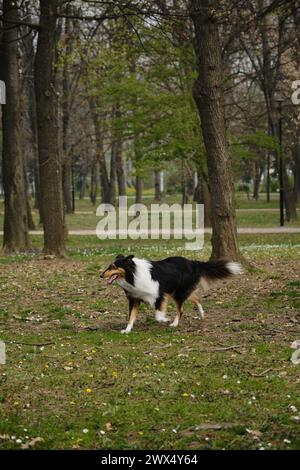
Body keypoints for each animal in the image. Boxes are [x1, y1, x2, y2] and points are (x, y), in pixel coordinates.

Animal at [100, 253, 241, 334]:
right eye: (109, 266)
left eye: (113, 267)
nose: (101, 275)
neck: (133, 275)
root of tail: (193, 262)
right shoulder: (135, 299)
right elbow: (131, 317)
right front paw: (127, 330)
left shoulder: (160, 295)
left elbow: (158, 315)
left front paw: (166, 319)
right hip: (178, 291)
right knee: (196, 298)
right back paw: (201, 314)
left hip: (178, 293)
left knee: (181, 309)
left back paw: (175, 323)